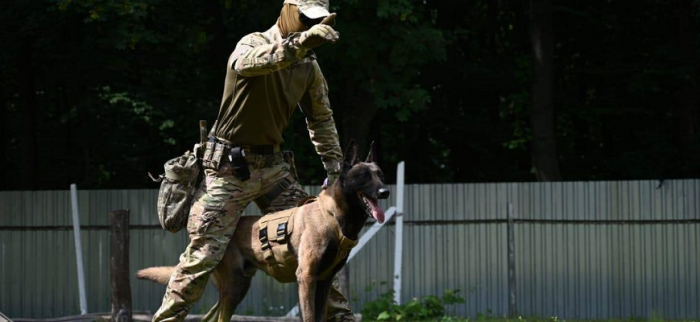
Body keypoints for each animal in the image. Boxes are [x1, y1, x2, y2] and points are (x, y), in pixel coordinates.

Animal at [137, 143, 388, 322]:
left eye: (381, 175)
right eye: (364, 176)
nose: (385, 191)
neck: (333, 216)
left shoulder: (324, 282)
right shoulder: (307, 278)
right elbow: (308, 317)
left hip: (237, 287)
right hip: (233, 288)